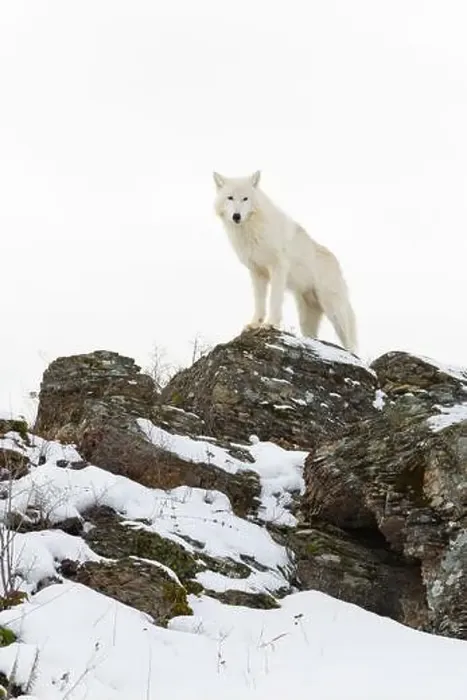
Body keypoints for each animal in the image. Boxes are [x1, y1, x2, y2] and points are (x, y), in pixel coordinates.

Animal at [213, 170, 358, 353]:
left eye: (245, 198)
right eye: (230, 198)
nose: (236, 216)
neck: (251, 230)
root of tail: (336, 263)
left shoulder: (278, 267)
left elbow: (274, 300)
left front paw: (270, 324)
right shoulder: (257, 272)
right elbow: (259, 303)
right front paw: (255, 324)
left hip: (335, 312)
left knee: (351, 344)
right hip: (306, 320)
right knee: (312, 335)